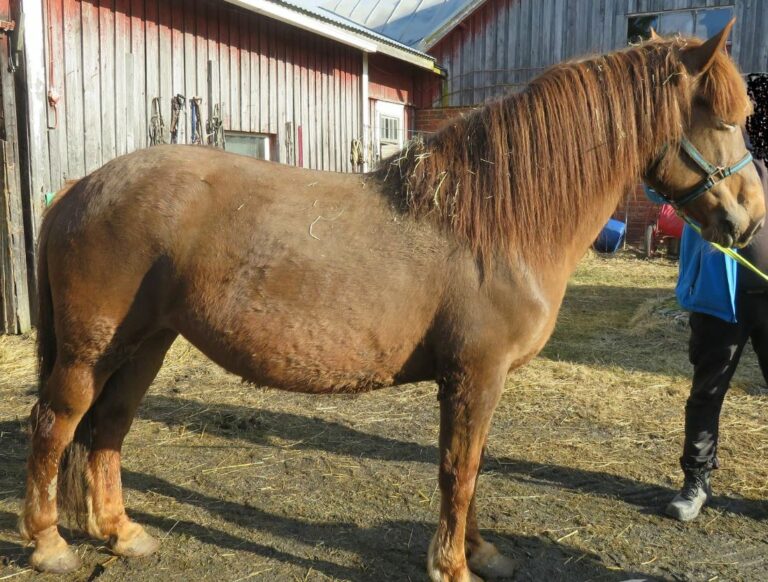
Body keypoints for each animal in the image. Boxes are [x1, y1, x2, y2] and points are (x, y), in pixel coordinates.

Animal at [19, 20, 765, 581]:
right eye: (719, 118)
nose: (748, 220)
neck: (493, 221)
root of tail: (84, 185)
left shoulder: (474, 383)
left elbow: (470, 469)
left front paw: (481, 553)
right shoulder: (475, 377)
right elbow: (459, 472)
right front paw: (454, 567)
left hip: (145, 345)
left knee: (109, 430)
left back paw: (123, 535)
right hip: (91, 351)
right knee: (56, 426)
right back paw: (50, 546)